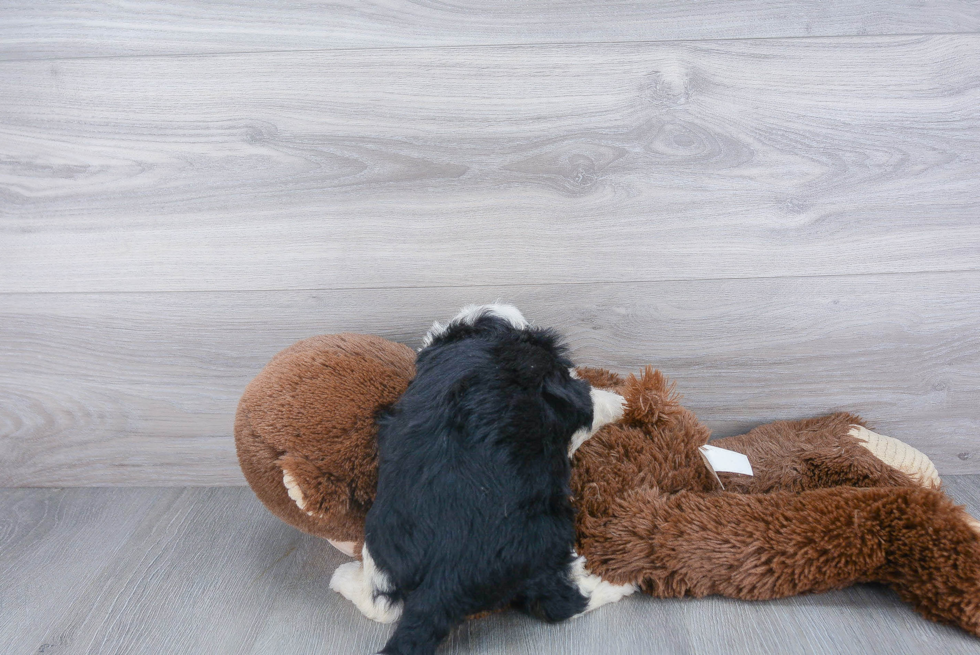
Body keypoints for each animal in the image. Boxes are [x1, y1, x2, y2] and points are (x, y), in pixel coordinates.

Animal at [332, 308, 636, 655]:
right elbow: (597, 402)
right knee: (561, 604)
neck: (487, 337)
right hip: (547, 544)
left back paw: (344, 579)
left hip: (382, 539)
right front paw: (623, 400)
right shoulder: (570, 396)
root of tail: (443, 579)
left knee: (382, 603)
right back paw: (615, 584)